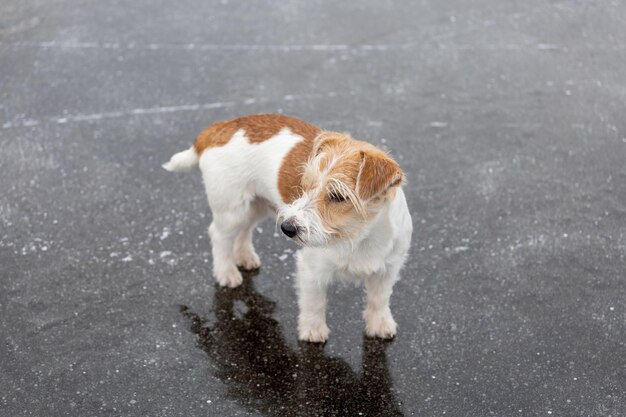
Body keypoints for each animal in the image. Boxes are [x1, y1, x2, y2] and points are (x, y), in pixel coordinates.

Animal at [163, 114, 412, 342]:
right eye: (305, 185)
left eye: (338, 196)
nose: (287, 228)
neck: (359, 236)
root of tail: (221, 127)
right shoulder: (311, 269)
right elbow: (314, 302)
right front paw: (313, 331)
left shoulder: (388, 269)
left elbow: (379, 298)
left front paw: (379, 324)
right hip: (232, 210)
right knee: (219, 236)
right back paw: (226, 272)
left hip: (256, 205)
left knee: (244, 231)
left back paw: (245, 257)